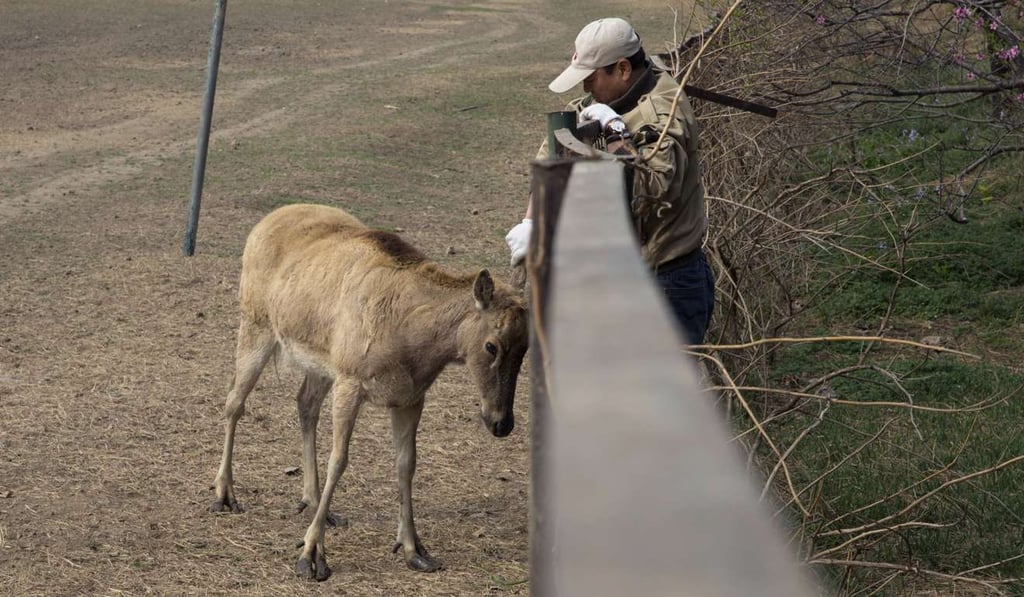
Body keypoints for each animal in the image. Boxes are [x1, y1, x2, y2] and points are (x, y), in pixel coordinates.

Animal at [209, 203, 529, 581]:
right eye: (491, 345)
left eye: (525, 347)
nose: (501, 422)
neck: (413, 344)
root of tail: (262, 225)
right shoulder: (350, 381)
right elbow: (339, 460)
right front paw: (311, 555)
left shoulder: (411, 396)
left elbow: (407, 463)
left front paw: (414, 548)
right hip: (255, 324)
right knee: (234, 401)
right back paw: (224, 494)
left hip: (320, 362)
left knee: (304, 403)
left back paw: (314, 502)